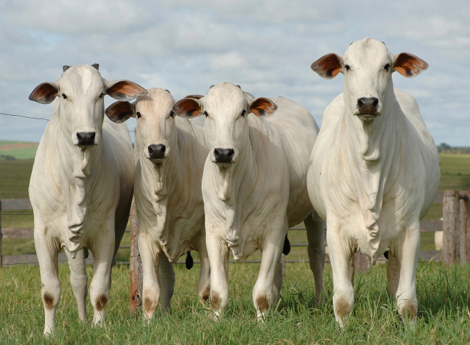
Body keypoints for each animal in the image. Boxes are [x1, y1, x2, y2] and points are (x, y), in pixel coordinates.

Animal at [28, 64, 146, 334]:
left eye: (101, 94)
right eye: (63, 95)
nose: (85, 136)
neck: (76, 182)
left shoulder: (106, 235)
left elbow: (100, 290)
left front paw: (99, 326)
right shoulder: (43, 234)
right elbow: (50, 291)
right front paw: (49, 332)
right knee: (77, 280)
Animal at [106, 88, 211, 318]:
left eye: (171, 113)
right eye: (138, 114)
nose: (156, 149)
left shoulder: (206, 236)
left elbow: (205, 289)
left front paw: (213, 317)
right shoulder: (147, 239)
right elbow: (150, 292)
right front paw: (148, 320)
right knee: (168, 279)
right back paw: (166, 311)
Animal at [173, 82, 326, 318]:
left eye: (243, 112)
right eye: (206, 113)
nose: (223, 152)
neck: (233, 191)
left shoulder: (274, 229)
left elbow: (261, 293)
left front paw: (262, 320)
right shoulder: (213, 234)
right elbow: (218, 293)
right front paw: (217, 320)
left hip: (314, 216)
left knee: (316, 258)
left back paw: (320, 302)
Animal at [308, 39, 440, 326]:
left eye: (387, 66)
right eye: (347, 66)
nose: (367, 101)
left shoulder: (411, 231)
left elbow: (407, 300)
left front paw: (409, 329)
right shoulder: (336, 232)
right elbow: (343, 297)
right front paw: (342, 328)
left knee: (394, 279)